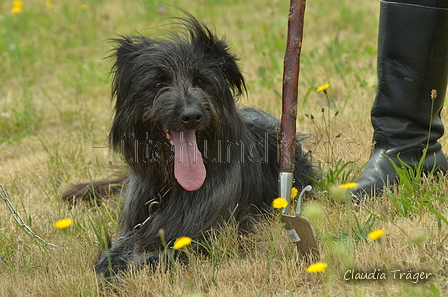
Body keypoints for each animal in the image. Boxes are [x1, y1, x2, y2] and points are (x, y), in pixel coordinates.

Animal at [63, 15, 314, 276]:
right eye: (157, 84)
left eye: (201, 81)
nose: (192, 115)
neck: (169, 187)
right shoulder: (138, 225)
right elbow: (119, 247)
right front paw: (110, 261)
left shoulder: (217, 236)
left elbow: (166, 256)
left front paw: (124, 268)